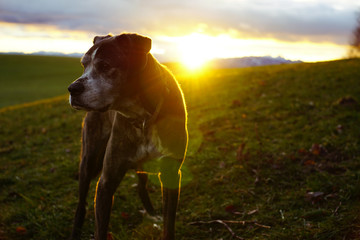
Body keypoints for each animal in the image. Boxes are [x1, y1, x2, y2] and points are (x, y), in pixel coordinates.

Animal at [66, 33, 188, 240]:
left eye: (105, 65)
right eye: (84, 65)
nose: (72, 89)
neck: (143, 117)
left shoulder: (171, 172)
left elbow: (169, 224)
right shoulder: (107, 181)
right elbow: (100, 229)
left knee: (141, 186)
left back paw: (152, 212)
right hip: (89, 159)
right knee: (81, 205)